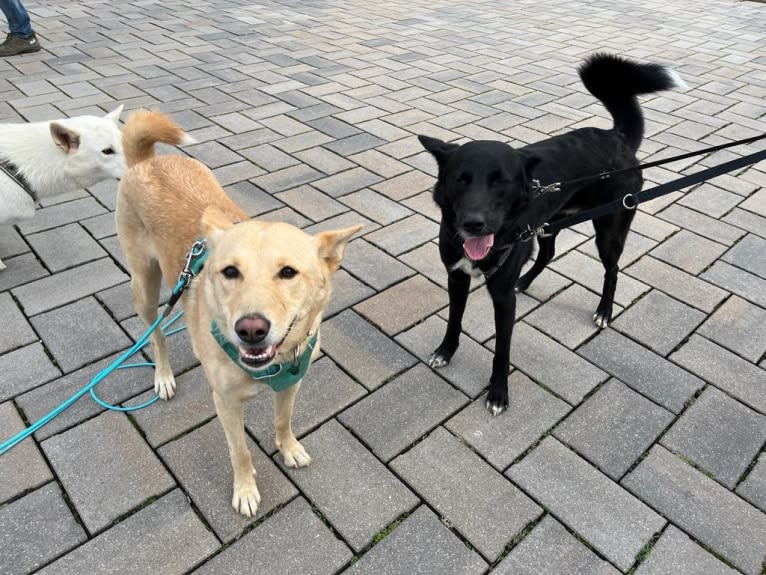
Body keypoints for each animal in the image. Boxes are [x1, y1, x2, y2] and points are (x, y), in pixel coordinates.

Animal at [118, 109, 364, 516]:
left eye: (288, 272)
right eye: (230, 272)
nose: (250, 329)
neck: (272, 365)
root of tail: (148, 162)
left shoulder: (292, 384)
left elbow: (283, 421)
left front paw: (289, 448)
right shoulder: (227, 404)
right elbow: (241, 452)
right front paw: (246, 490)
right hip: (145, 287)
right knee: (156, 335)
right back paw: (163, 376)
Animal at [420, 53, 684, 414]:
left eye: (500, 181)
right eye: (460, 179)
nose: (474, 224)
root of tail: (617, 137)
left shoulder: (503, 299)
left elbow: (502, 350)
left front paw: (498, 393)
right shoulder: (456, 278)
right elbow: (453, 319)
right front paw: (445, 351)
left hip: (609, 229)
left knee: (612, 269)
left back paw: (604, 311)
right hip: (549, 224)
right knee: (547, 254)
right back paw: (526, 281)